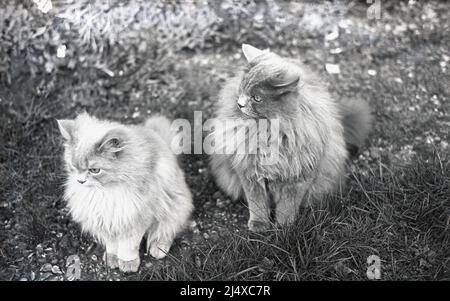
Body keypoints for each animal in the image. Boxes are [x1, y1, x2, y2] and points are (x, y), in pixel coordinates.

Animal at [57, 112, 192, 272]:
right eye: (73, 166)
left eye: (94, 170)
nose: (80, 181)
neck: (105, 192)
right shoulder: (106, 220)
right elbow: (112, 245)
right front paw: (112, 259)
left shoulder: (136, 218)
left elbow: (128, 246)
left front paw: (128, 264)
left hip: (173, 207)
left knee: (166, 230)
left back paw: (158, 248)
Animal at [209, 43, 370, 231]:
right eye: (242, 88)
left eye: (257, 98)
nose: (240, 104)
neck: (268, 131)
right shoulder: (249, 170)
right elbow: (257, 203)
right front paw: (259, 225)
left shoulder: (300, 174)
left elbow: (288, 205)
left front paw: (284, 227)